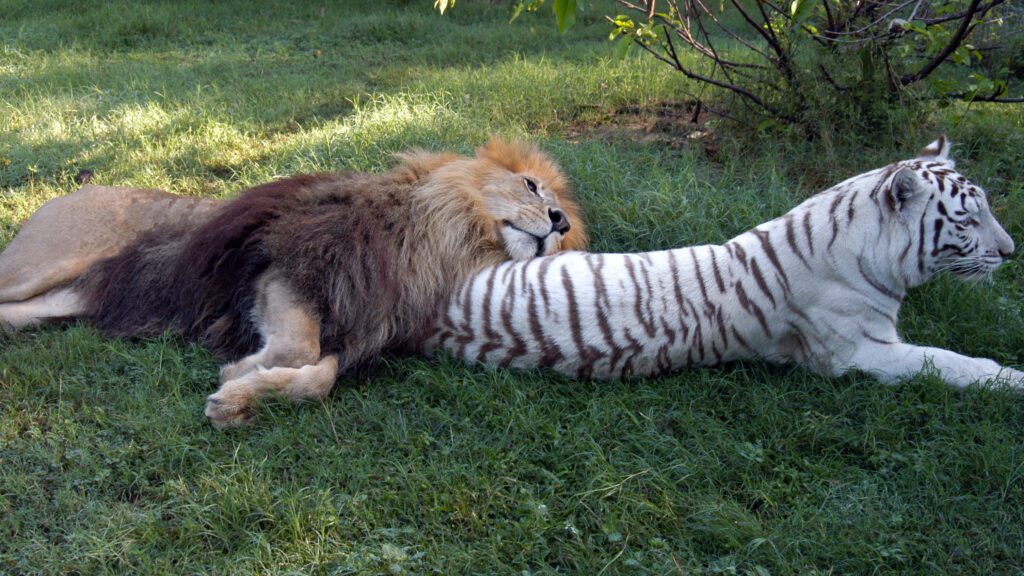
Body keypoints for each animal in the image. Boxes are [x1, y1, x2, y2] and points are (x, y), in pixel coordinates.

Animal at [0, 139, 585, 426]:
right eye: (532, 186)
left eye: (564, 218)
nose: (559, 222)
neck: (442, 241)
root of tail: (74, 190)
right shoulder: (286, 267)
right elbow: (299, 348)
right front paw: (240, 372)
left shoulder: (361, 331)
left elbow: (319, 377)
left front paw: (240, 399)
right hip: (37, 267)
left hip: (60, 301)